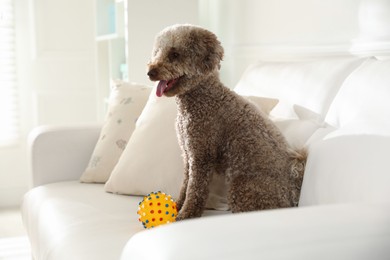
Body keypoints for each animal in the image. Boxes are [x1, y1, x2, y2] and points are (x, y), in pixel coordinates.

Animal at [147, 24, 308, 220]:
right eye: (157, 52)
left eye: (175, 54)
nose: (150, 72)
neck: (203, 98)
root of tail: (293, 193)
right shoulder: (188, 154)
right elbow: (185, 185)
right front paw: (176, 206)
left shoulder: (201, 155)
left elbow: (195, 190)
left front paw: (185, 215)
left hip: (242, 190)